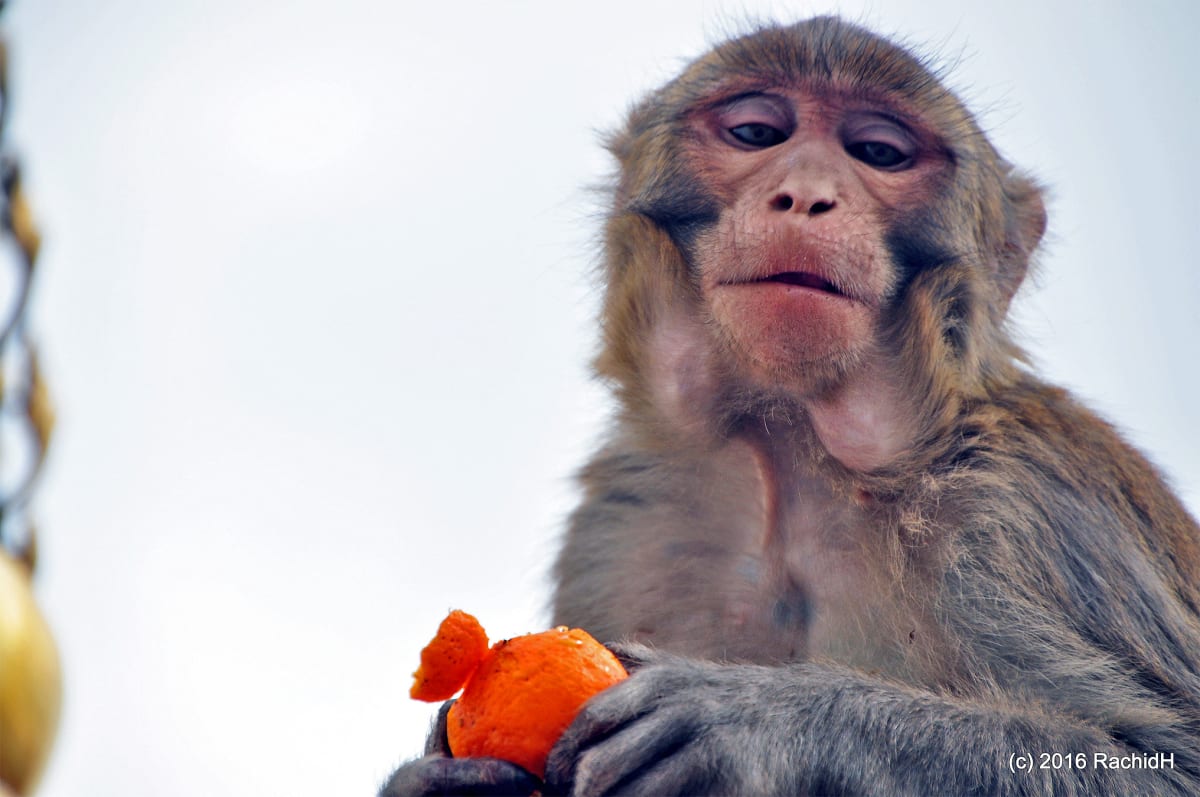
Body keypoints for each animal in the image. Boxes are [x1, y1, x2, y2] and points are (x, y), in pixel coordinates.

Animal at [381, 16, 1200, 796]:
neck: (793, 449)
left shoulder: (1028, 511)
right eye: (756, 134)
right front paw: (436, 779)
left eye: (878, 152)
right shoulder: (621, 522)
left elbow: (1163, 762)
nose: (806, 193)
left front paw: (756, 718)